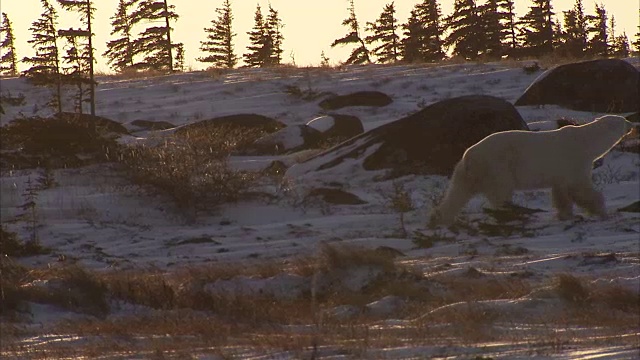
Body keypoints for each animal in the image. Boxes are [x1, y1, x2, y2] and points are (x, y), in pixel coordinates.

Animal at [430, 115, 636, 226]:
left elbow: (561, 193)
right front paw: (602, 211)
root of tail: (469, 157)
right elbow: (580, 189)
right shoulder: (574, 161)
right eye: (623, 120)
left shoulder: (560, 173)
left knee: (457, 193)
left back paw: (440, 218)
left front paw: (566, 215)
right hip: (497, 166)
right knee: (500, 192)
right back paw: (510, 213)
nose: (632, 124)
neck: (586, 141)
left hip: (465, 172)